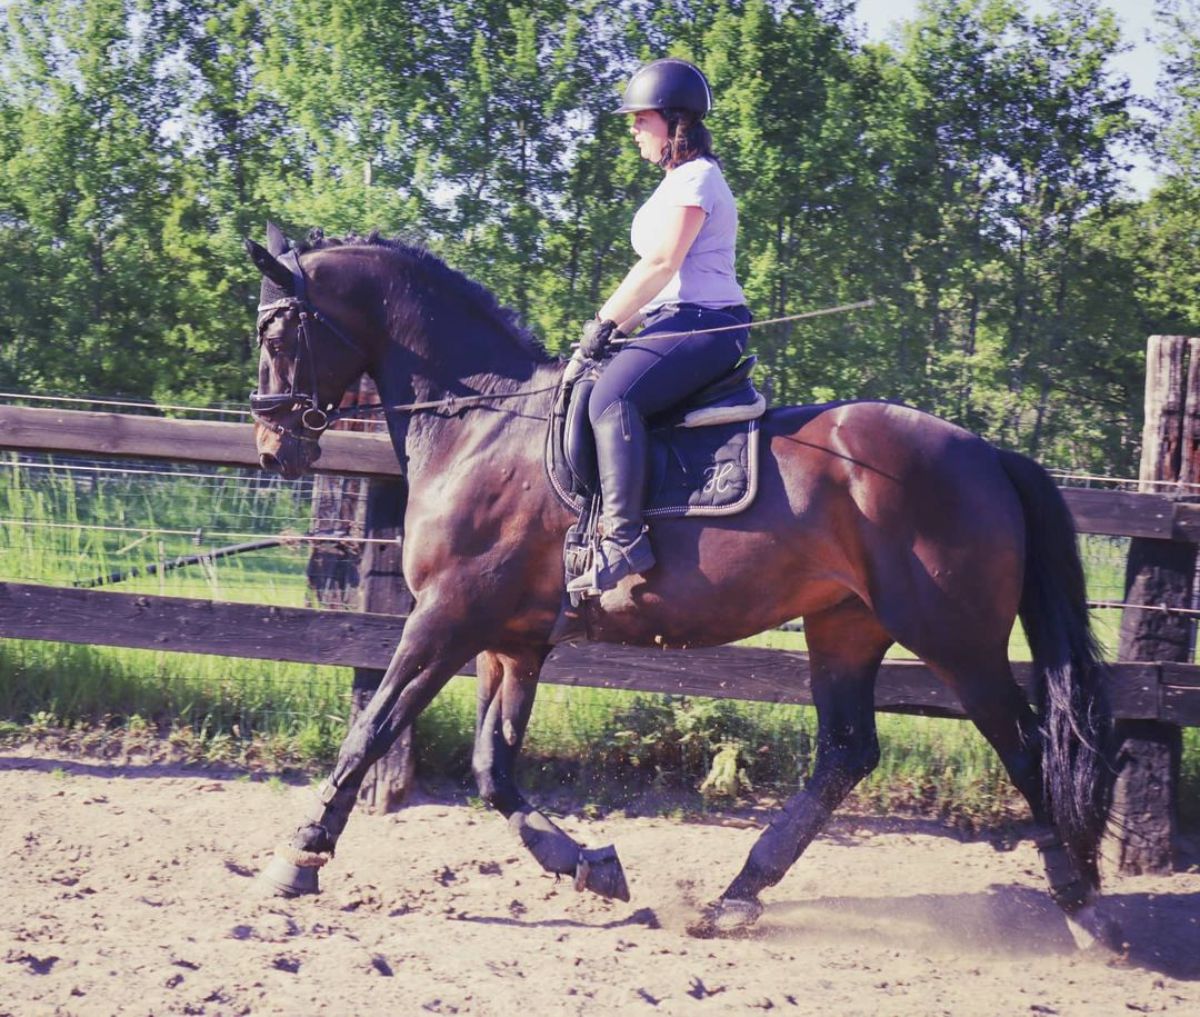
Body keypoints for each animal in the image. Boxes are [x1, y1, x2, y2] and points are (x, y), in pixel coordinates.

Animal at [248, 227, 1118, 945]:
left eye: (277, 333)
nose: (270, 445)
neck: (482, 423)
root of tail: (987, 452)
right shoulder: (511, 639)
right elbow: (493, 767)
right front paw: (590, 865)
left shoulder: (446, 618)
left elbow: (372, 730)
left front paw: (300, 858)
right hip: (846, 626)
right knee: (847, 751)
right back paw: (737, 895)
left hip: (956, 640)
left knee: (1026, 747)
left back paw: (1083, 906)